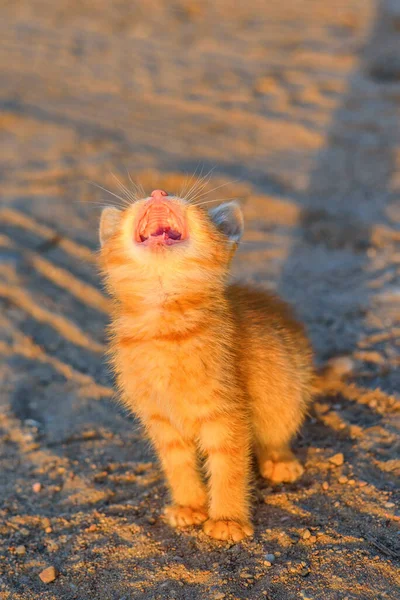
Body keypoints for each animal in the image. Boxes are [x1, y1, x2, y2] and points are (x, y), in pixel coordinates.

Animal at [98, 189, 314, 544]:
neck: (165, 329)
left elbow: (229, 467)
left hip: (288, 388)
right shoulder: (160, 418)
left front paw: (227, 520)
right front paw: (190, 506)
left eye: (185, 201)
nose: (158, 193)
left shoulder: (227, 412)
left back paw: (279, 461)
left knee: (276, 433)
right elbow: (177, 463)